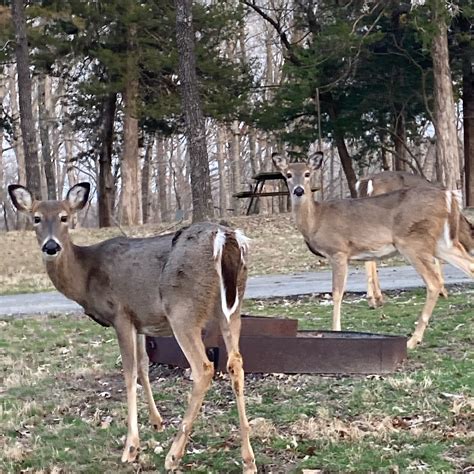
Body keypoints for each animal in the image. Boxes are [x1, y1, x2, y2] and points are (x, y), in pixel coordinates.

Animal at [7, 182, 258, 474]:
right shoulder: (140, 322)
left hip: (183, 309)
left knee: (204, 368)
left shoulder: (121, 314)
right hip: (231, 307)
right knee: (235, 363)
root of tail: (225, 237)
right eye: (36, 218)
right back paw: (248, 459)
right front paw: (157, 422)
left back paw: (174, 455)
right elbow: (143, 365)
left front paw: (131, 447)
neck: (85, 275)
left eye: (64, 217)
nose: (50, 246)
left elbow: (128, 374)